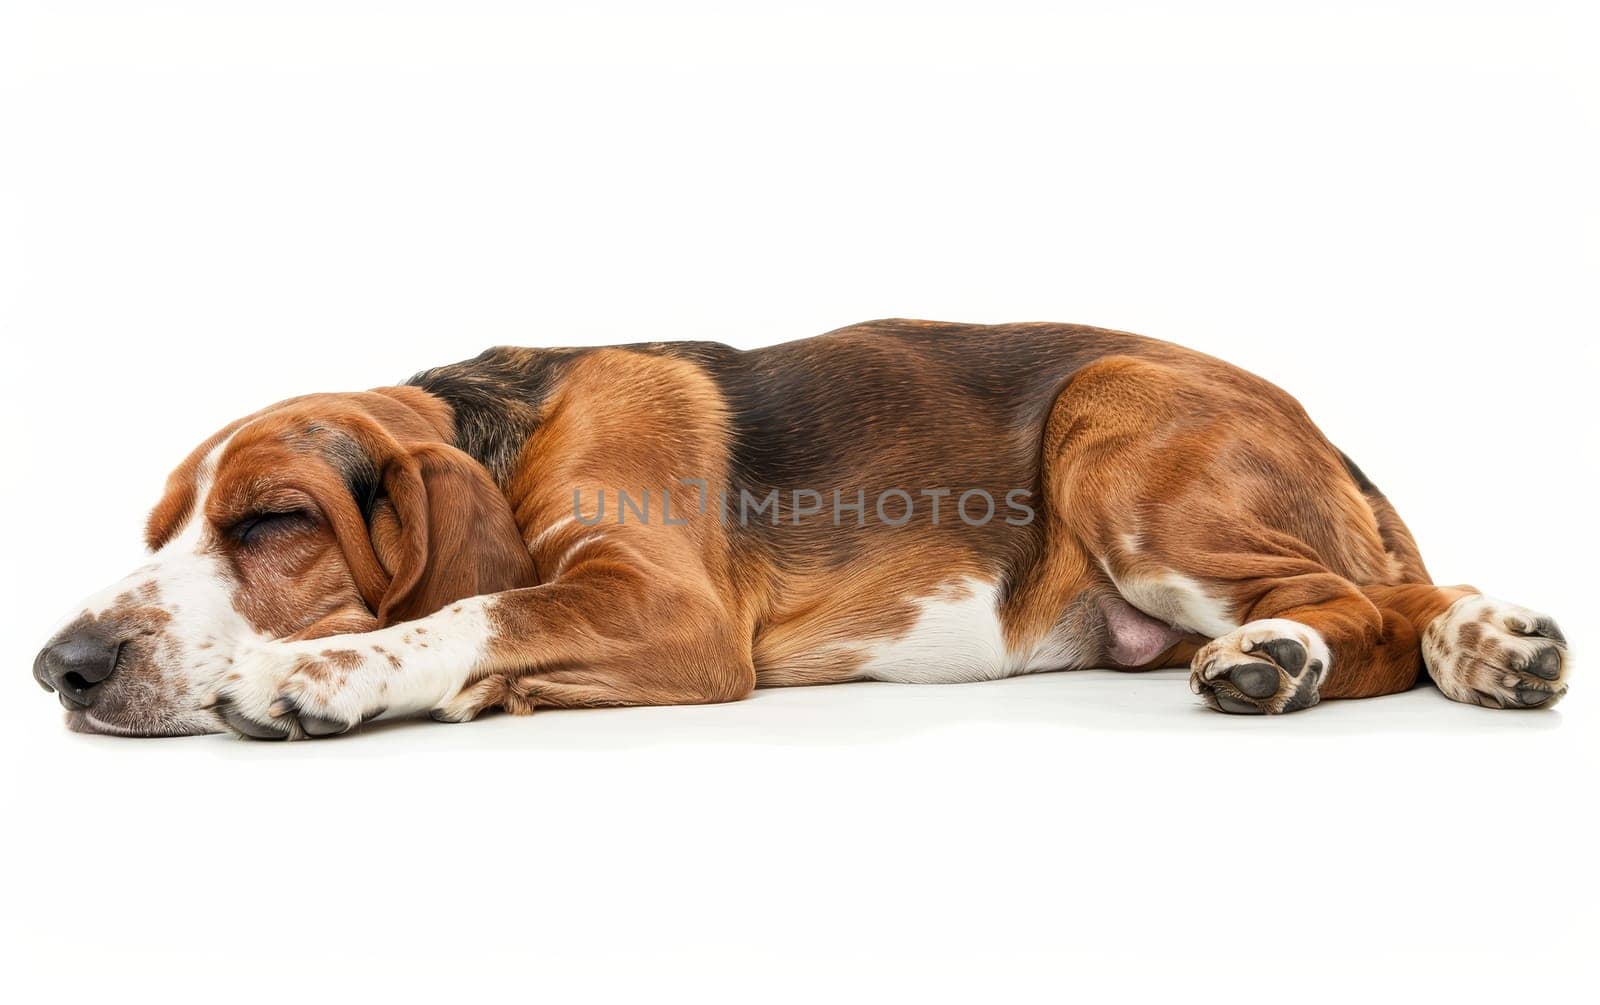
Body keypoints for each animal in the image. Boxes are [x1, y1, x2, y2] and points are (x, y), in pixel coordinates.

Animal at [28, 321, 1574, 739]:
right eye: (159, 526)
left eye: (273, 519)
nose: (63, 669)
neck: (512, 425)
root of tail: (1318, 423)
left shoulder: (668, 612)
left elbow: (471, 608)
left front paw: (320, 673)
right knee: (1387, 611)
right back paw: (1430, 653)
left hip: (1116, 424)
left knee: (1379, 605)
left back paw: (1362, 650)